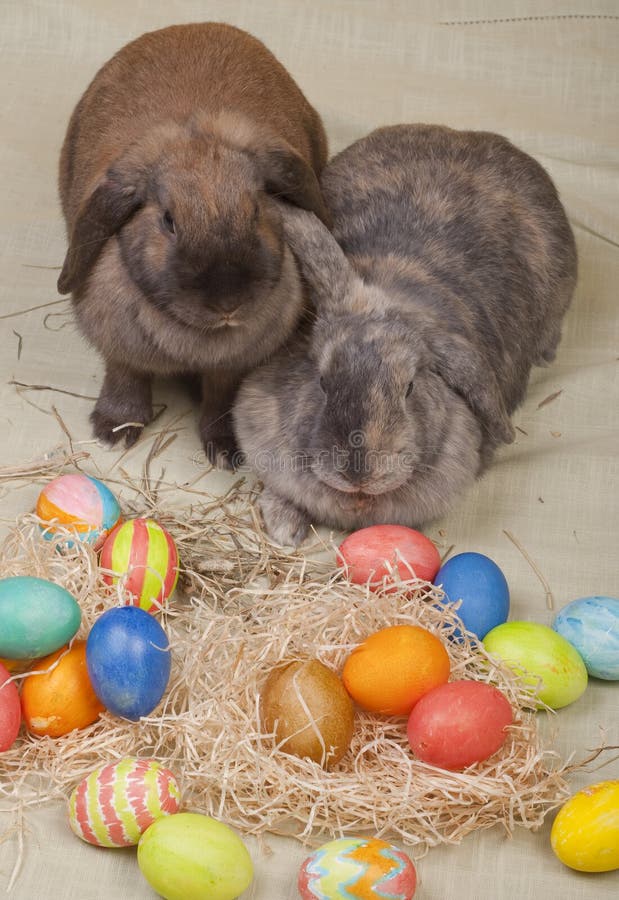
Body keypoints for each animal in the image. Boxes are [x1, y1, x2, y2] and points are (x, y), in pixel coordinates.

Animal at [57, 22, 329, 465]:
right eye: (168, 220)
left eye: (257, 208)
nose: (228, 303)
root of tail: (191, 26)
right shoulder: (119, 349)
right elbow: (125, 375)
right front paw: (112, 430)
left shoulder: (233, 368)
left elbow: (222, 398)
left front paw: (227, 450)